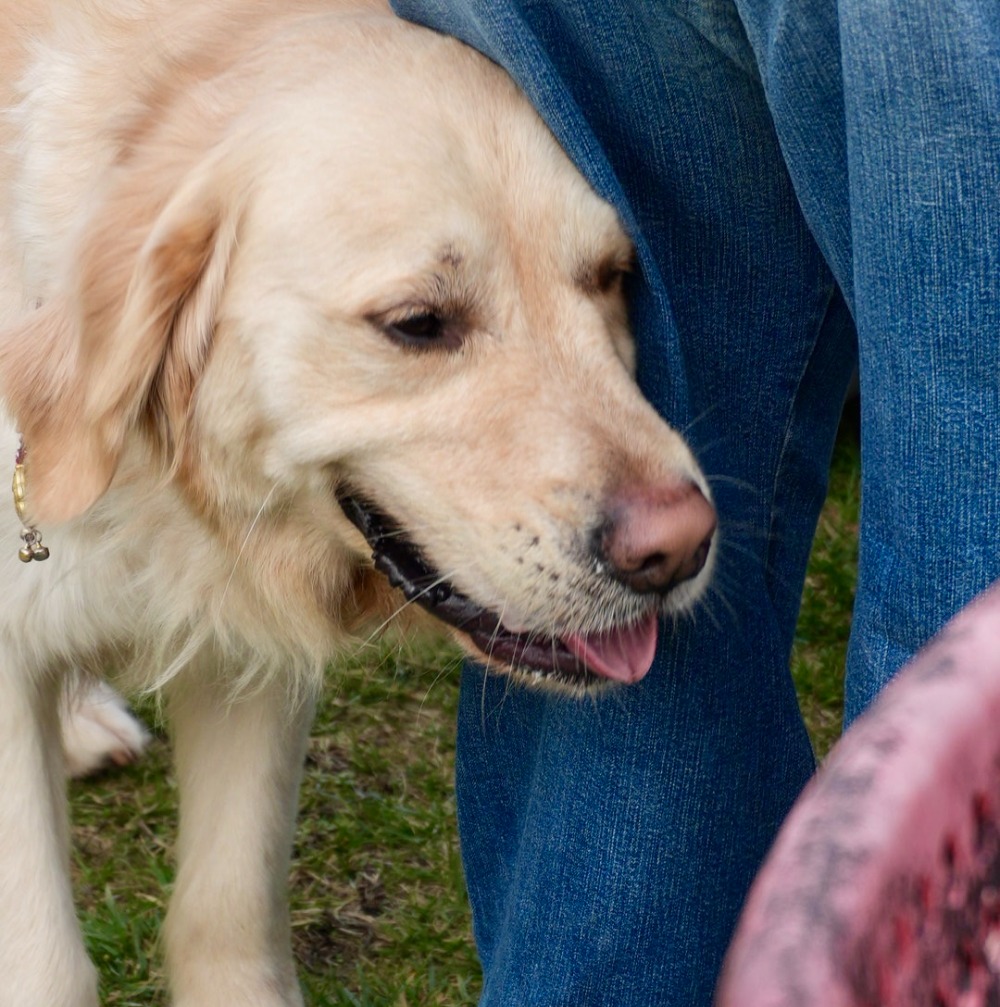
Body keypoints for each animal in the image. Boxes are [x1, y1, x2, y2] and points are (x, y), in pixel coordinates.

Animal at [0, 1, 717, 1003]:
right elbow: (43, 959)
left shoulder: (254, 651)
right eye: (417, 323)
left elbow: (226, 911)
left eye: (613, 276)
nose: (680, 547)